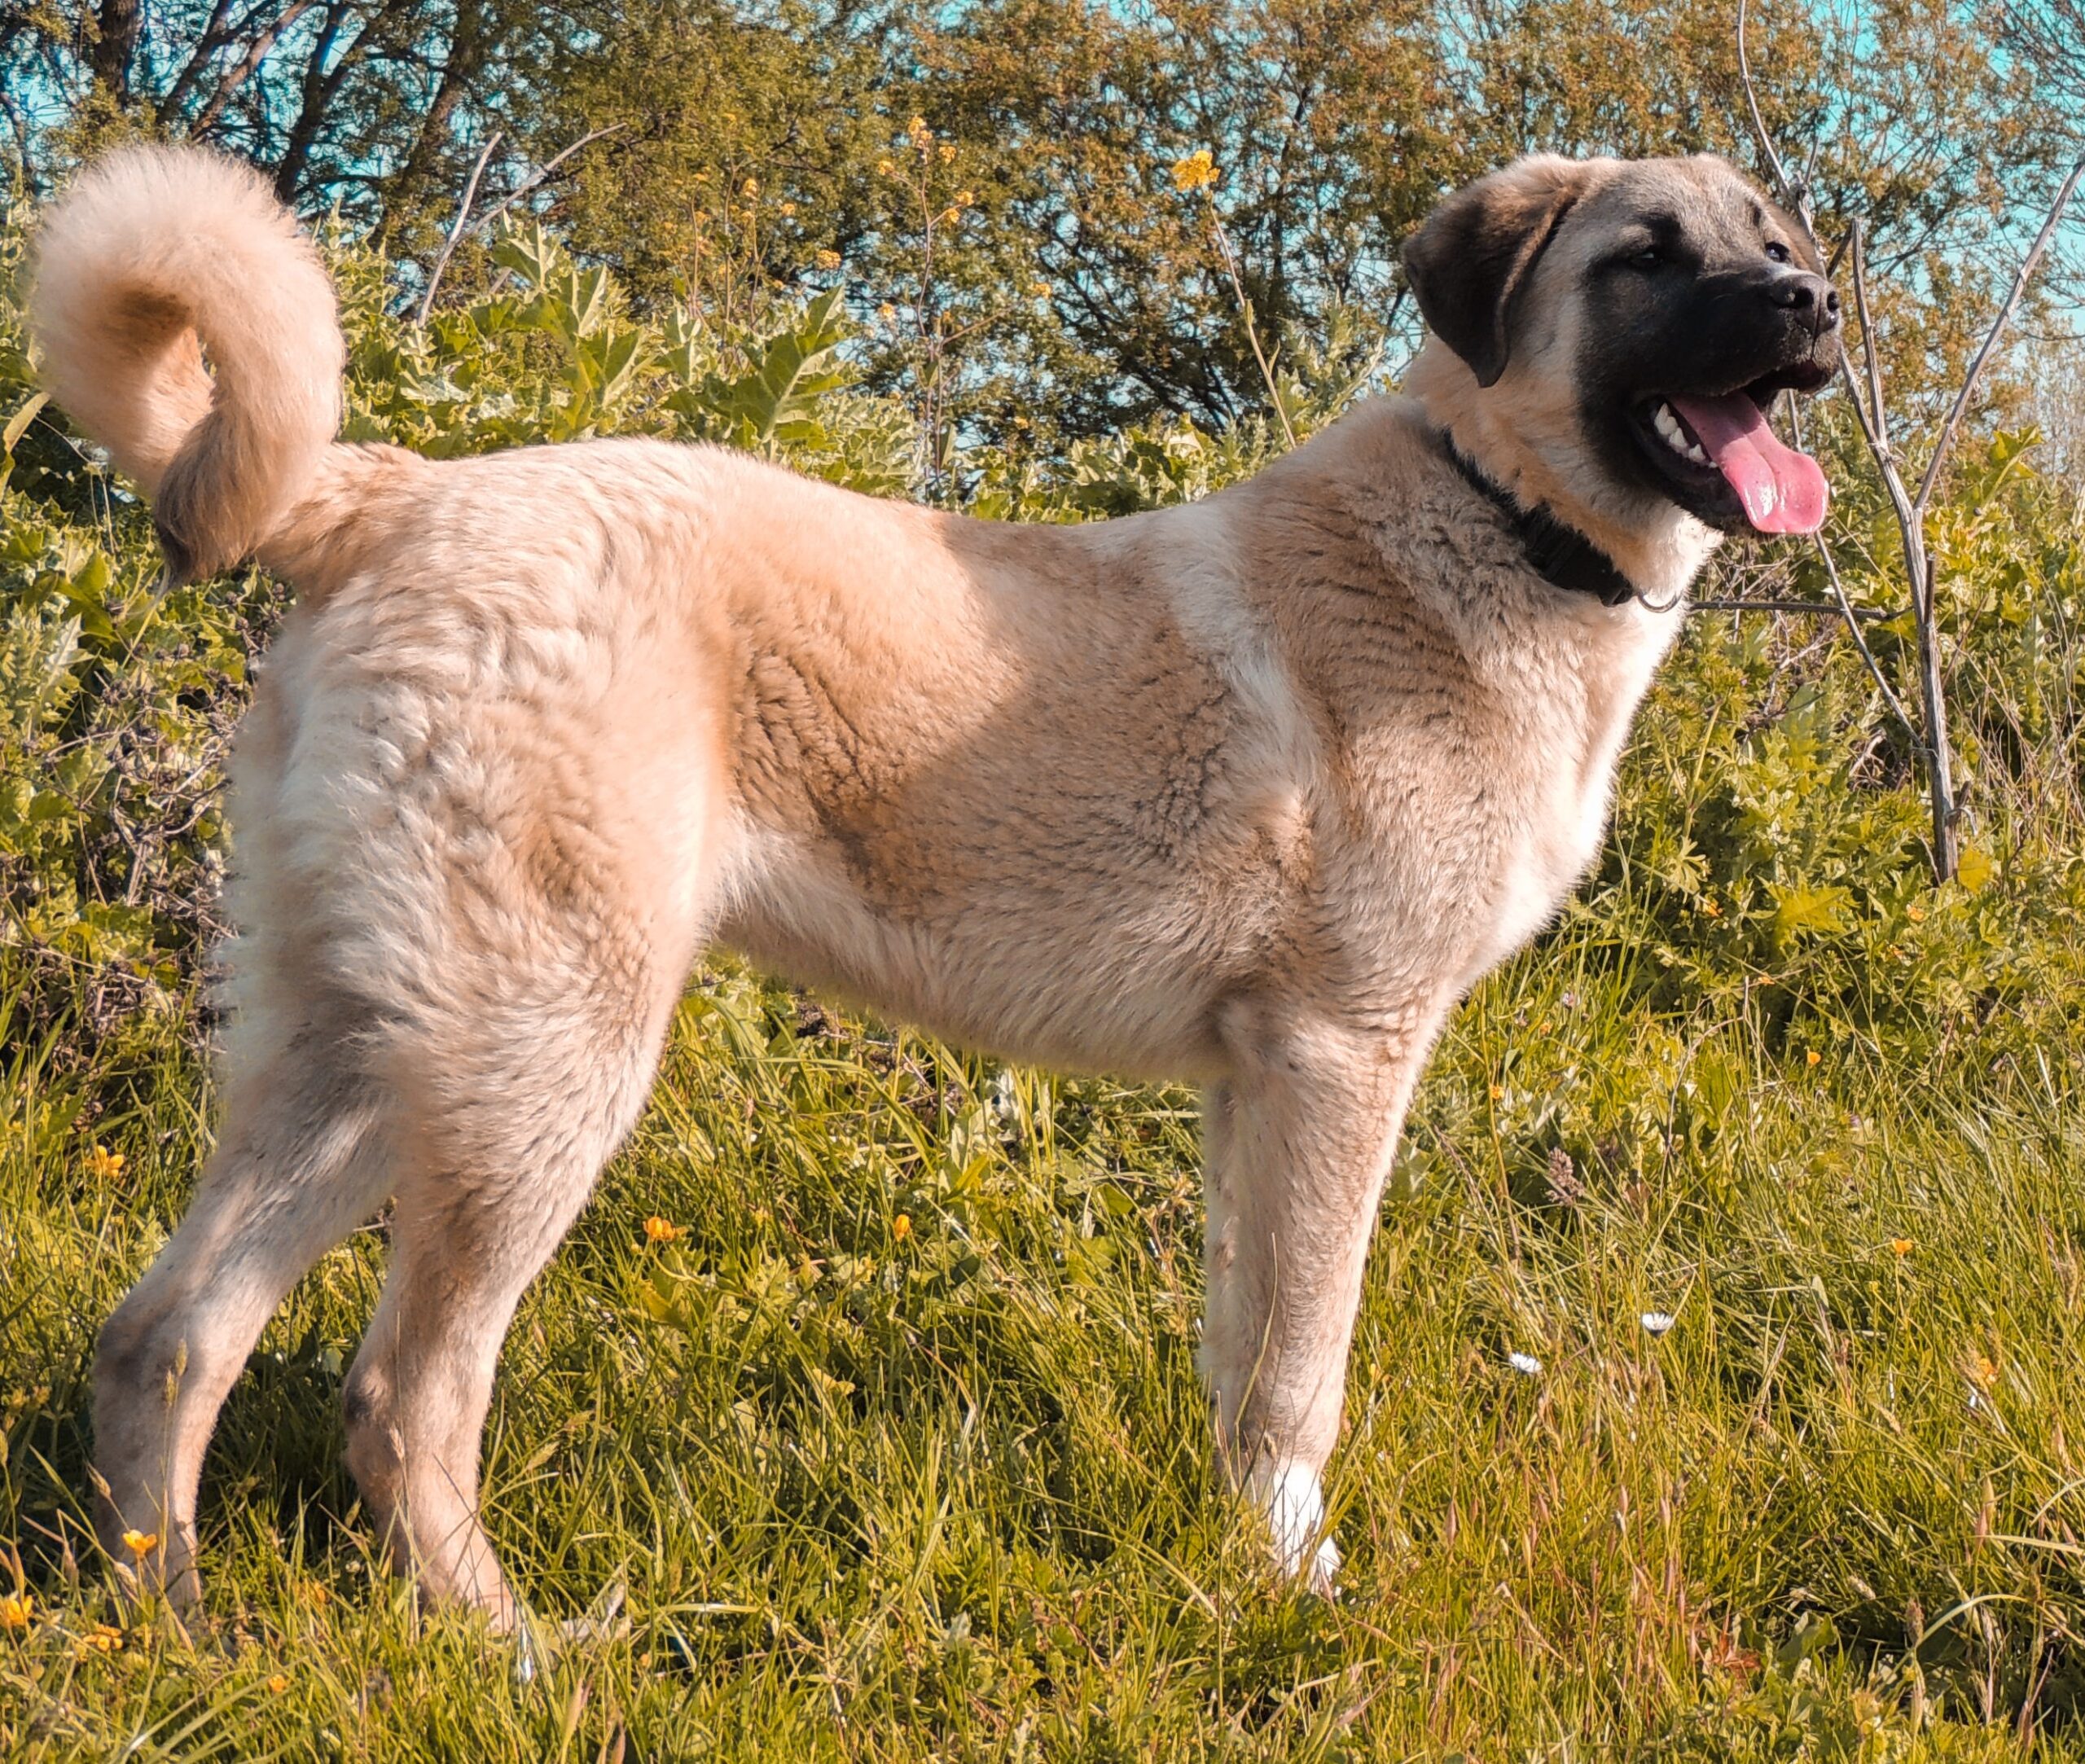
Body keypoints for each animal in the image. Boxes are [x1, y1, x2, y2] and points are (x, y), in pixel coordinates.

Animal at [33, 144, 1843, 1626]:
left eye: (1775, 241)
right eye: (1646, 257)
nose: (1816, 304)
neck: (1492, 515)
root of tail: (396, 489)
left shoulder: (1259, 1086)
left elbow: (1239, 1350)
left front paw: (1237, 1554)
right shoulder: (1345, 1055)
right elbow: (1298, 1371)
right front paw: (1296, 1589)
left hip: (358, 1057)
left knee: (165, 1338)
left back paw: (173, 1628)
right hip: (538, 1066)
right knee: (402, 1394)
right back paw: (515, 1653)